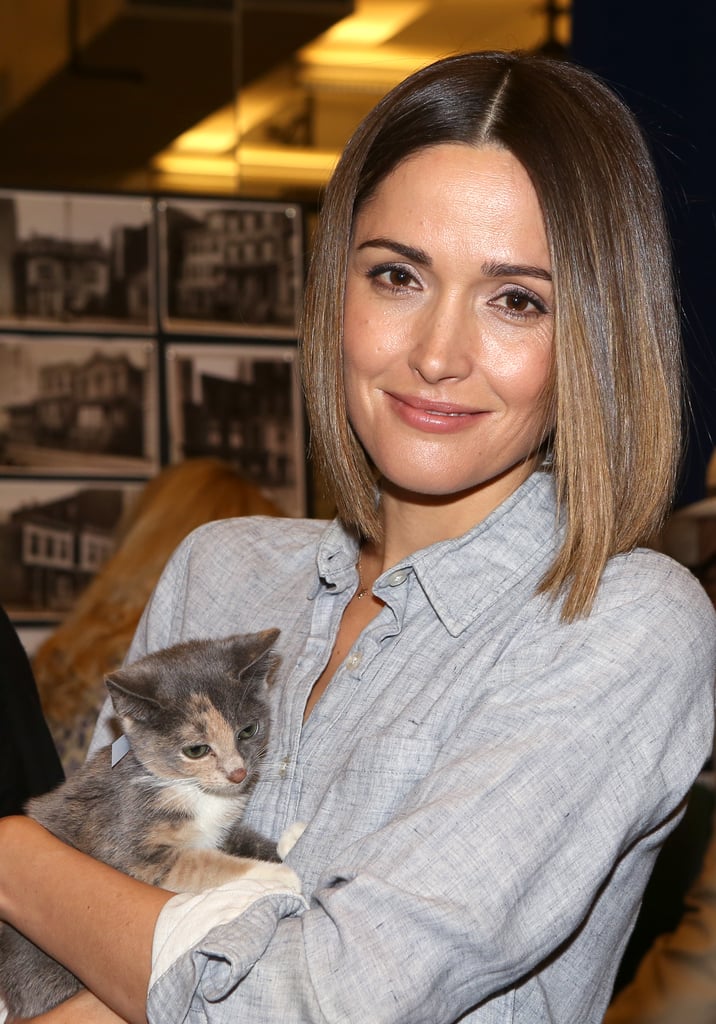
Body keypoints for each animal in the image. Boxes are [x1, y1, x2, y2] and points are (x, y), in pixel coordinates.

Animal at [0, 626, 297, 1019]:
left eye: (248, 730)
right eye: (196, 750)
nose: (238, 773)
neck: (185, 788)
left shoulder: (223, 829)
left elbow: (241, 839)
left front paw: (288, 842)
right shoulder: (131, 847)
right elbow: (203, 864)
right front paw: (275, 877)